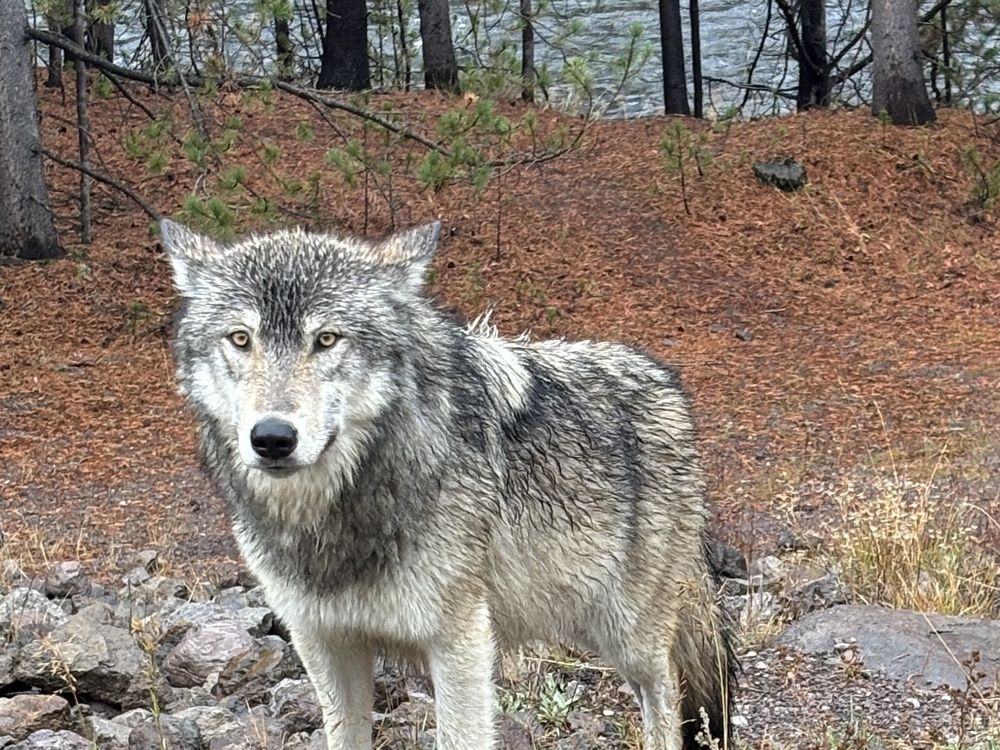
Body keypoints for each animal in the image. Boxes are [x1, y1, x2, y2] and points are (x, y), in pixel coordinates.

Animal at [161, 218, 737, 750]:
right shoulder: (325, 643)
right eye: (241, 339)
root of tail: (667, 382)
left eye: (326, 339)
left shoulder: (460, 640)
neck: (335, 518)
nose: (273, 438)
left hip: (628, 632)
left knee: (666, 694)